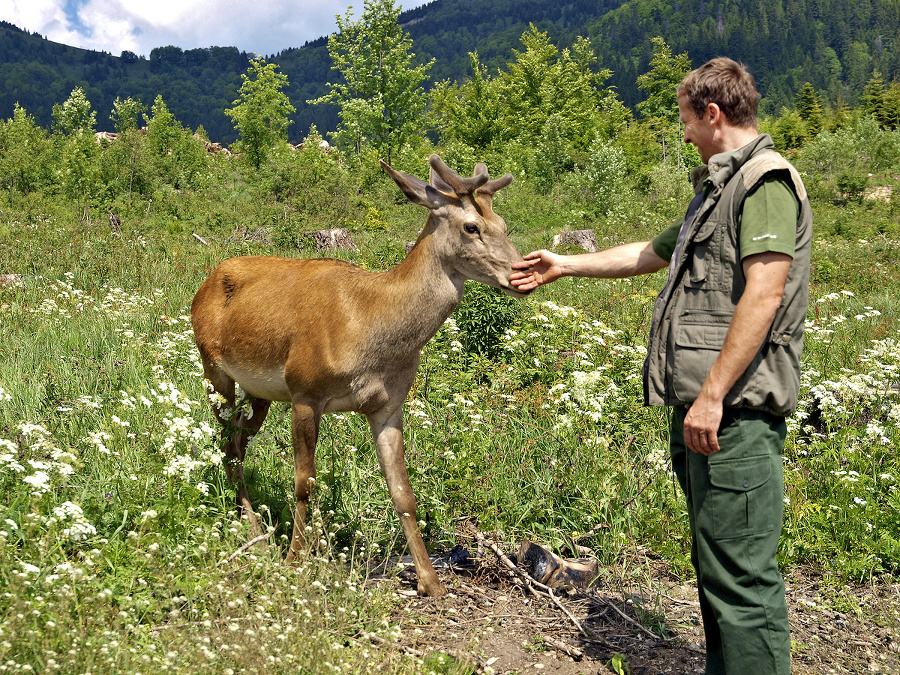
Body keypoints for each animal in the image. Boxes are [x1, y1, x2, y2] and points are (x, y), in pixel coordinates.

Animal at [190, 154, 528, 596]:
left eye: (504, 224)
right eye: (472, 226)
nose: (522, 273)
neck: (369, 326)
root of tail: (206, 282)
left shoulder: (389, 405)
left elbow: (403, 492)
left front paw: (431, 582)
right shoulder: (305, 391)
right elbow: (305, 483)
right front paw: (295, 561)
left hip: (259, 393)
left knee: (237, 441)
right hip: (214, 369)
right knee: (227, 442)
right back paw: (253, 532)